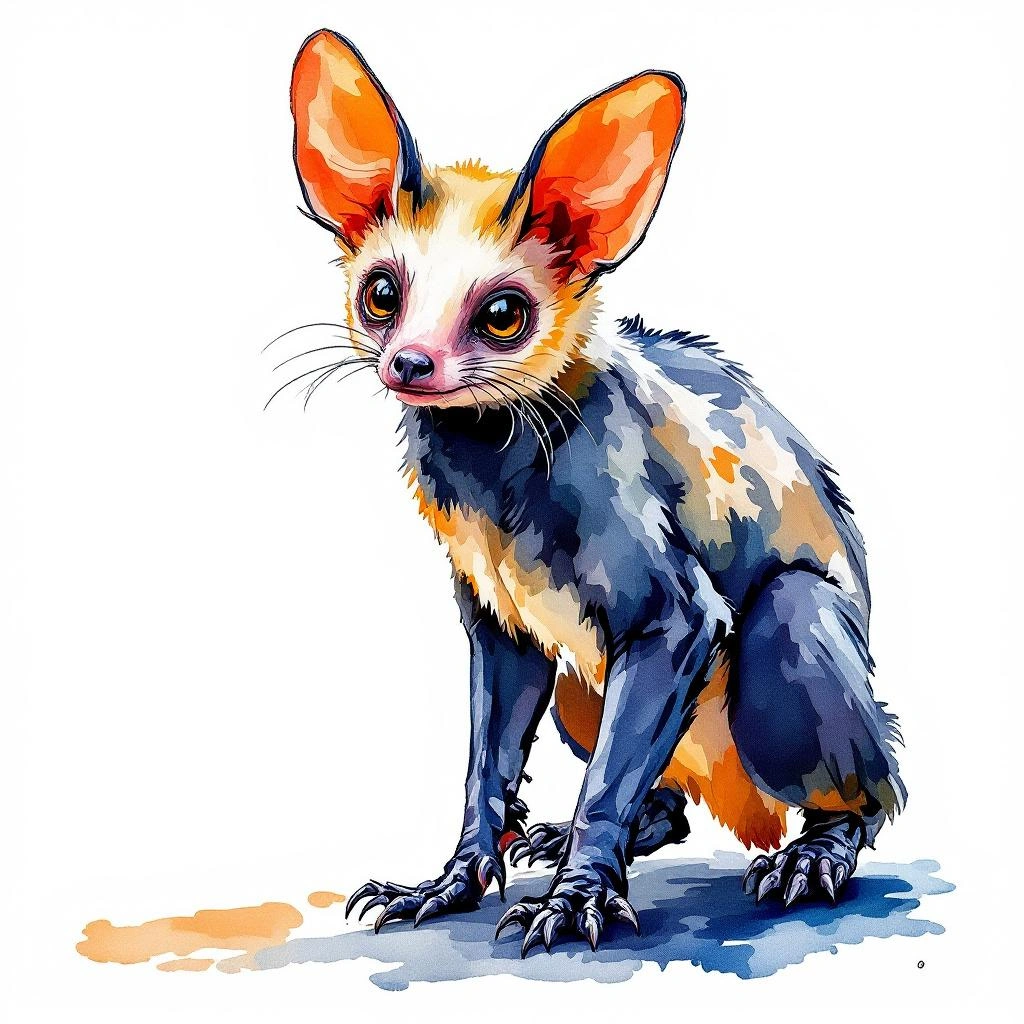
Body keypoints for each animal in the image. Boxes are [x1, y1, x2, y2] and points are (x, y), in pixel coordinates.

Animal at [284, 29, 907, 957]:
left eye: (503, 314)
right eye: (382, 294)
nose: (409, 363)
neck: (493, 469)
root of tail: (745, 808)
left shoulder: (675, 617)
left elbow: (606, 784)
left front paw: (575, 901)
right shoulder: (499, 626)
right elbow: (486, 767)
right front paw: (450, 884)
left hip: (789, 637)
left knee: (874, 786)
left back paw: (811, 855)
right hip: (585, 686)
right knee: (668, 798)